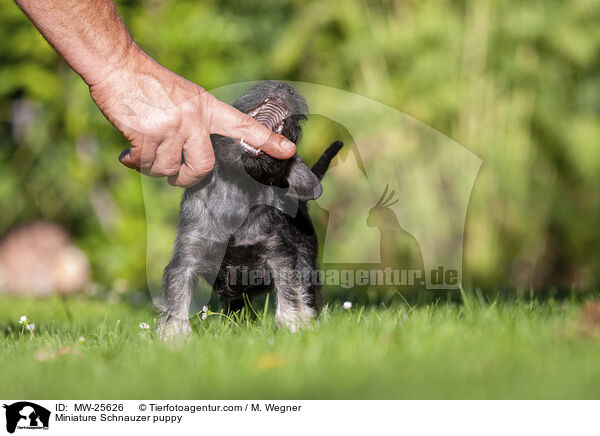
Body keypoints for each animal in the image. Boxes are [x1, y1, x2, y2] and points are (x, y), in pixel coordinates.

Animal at [157, 81, 342, 338]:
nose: (286, 87)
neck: (236, 192)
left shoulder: (279, 255)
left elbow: (290, 294)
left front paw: (294, 325)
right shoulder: (186, 258)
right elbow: (177, 300)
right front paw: (173, 337)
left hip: (308, 267)